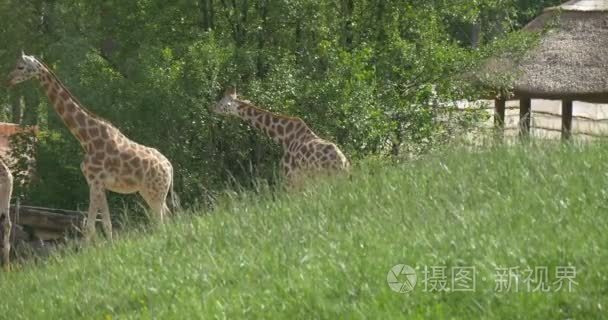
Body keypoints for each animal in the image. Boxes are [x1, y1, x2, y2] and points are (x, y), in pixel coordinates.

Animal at [6, 52, 176, 240]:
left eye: (21, 66)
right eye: (15, 65)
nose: (8, 80)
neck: (87, 139)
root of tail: (170, 167)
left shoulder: (95, 181)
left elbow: (89, 226)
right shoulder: (98, 184)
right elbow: (107, 224)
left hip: (156, 192)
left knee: (161, 221)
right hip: (149, 191)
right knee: (167, 218)